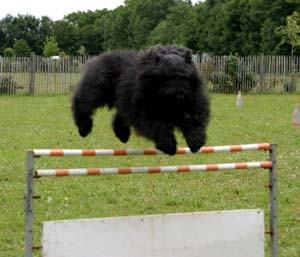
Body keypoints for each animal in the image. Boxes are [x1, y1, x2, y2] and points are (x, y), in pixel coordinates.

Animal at [71, 44, 210, 154]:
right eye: (167, 77)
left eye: (184, 77)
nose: (180, 96)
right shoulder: (145, 111)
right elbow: (158, 127)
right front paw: (168, 145)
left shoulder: (193, 104)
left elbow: (193, 121)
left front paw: (196, 141)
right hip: (96, 90)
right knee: (82, 103)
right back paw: (84, 128)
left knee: (119, 117)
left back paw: (122, 134)